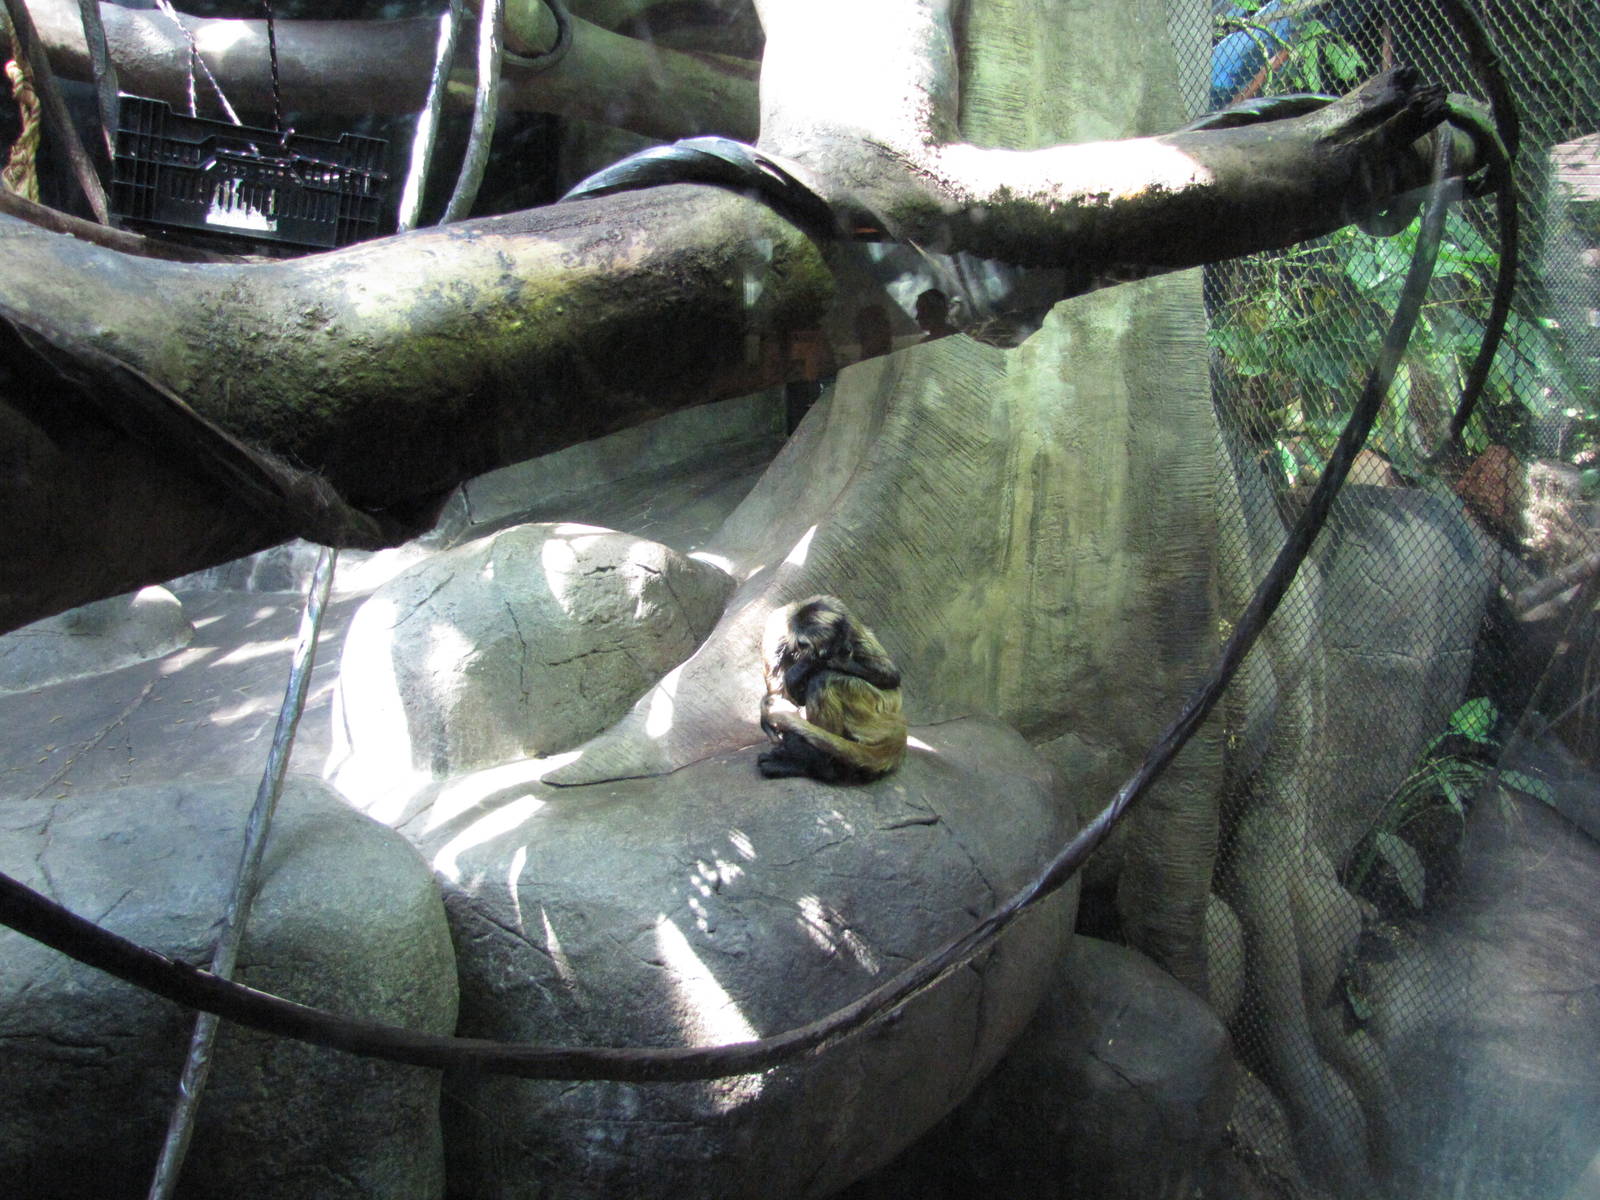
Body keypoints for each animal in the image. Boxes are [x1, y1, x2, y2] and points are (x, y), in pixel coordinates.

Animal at [757, 596, 907, 783]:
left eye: (845, 637)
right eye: (836, 645)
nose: (848, 649)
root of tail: (897, 719)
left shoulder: (845, 616)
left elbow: (892, 676)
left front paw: (805, 666)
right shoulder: (775, 631)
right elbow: (778, 693)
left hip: (875, 706)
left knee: (824, 678)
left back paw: (819, 765)